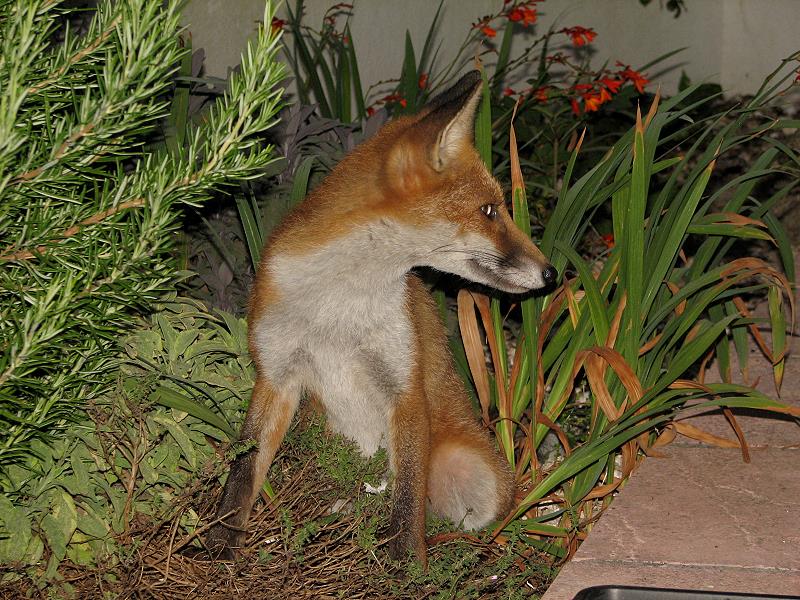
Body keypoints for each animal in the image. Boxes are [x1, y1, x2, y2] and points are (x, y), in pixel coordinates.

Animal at [206, 70, 556, 568]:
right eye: (489, 211)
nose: (552, 273)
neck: (337, 307)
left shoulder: (403, 386)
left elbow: (407, 501)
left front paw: (406, 568)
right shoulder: (275, 375)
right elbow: (243, 468)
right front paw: (220, 541)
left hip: (472, 475)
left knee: (451, 520)